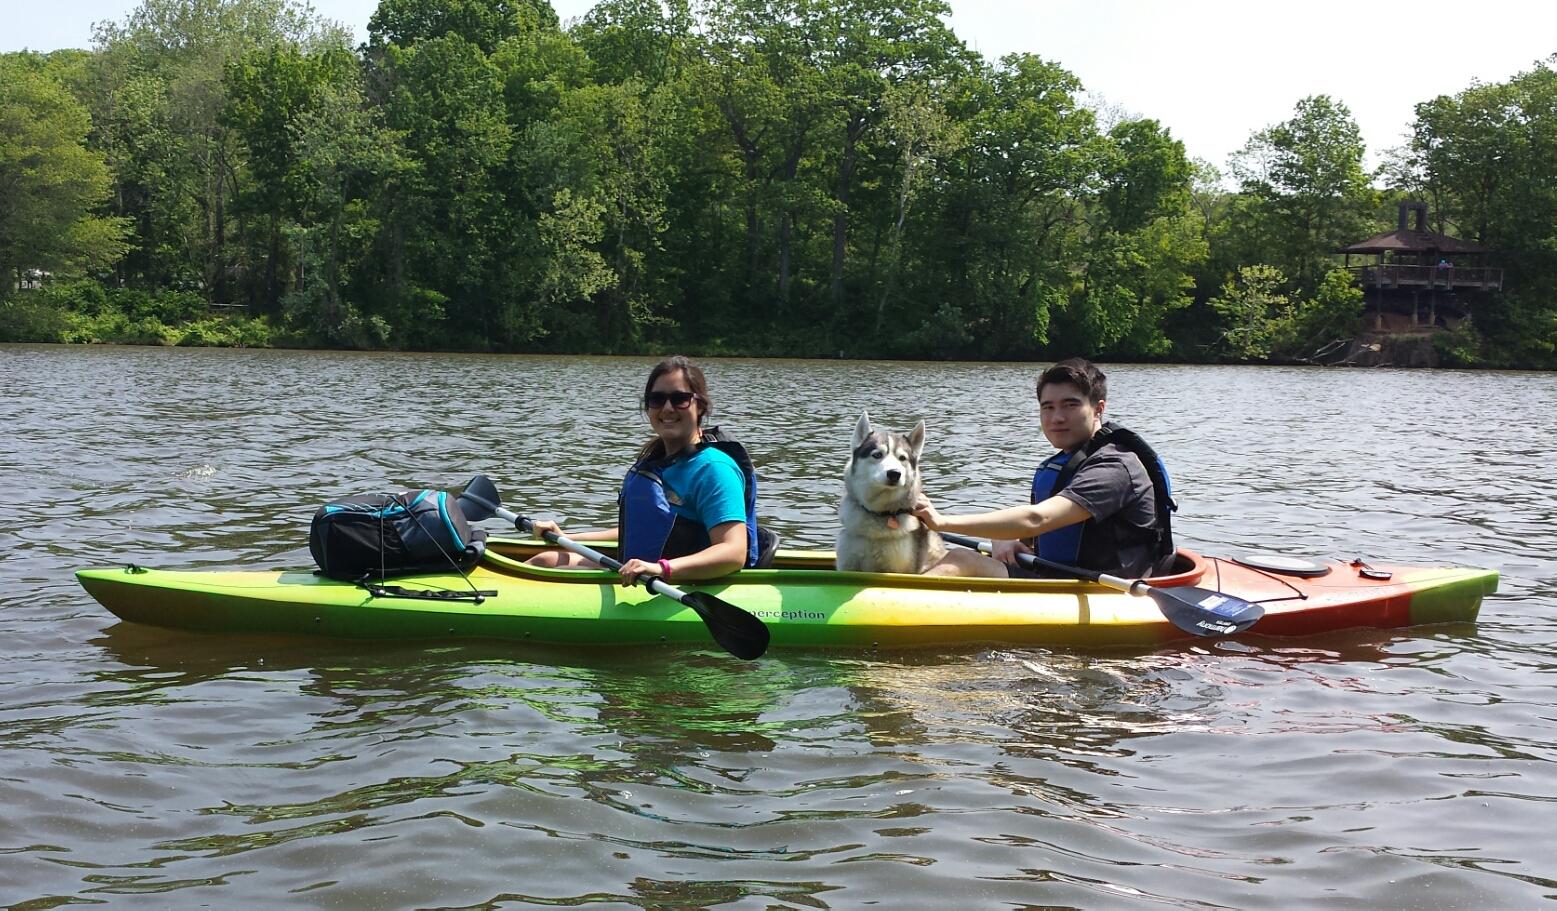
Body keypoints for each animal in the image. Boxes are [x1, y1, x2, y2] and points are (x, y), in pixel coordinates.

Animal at [840, 414, 946, 576]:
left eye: (902, 458)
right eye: (877, 455)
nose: (894, 473)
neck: (879, 513)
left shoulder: (897, 569)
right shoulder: (847, 564)